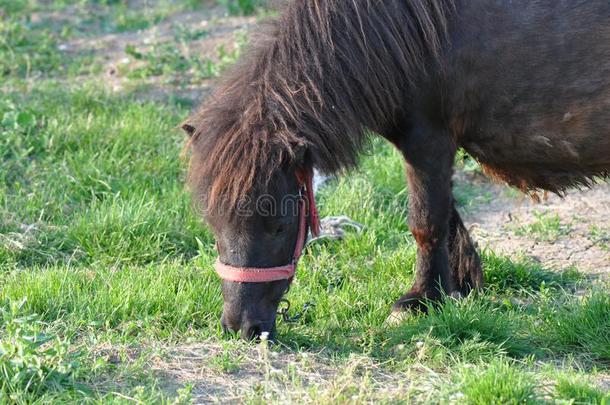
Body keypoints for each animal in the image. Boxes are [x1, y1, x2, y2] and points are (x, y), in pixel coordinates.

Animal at [183, 0, 608, 340]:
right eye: (213, 224)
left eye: (281, 226)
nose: (242, 327)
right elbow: (447, 218)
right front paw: (459, 287)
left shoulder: (428, 139)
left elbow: (426, 222)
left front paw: (421, 301)